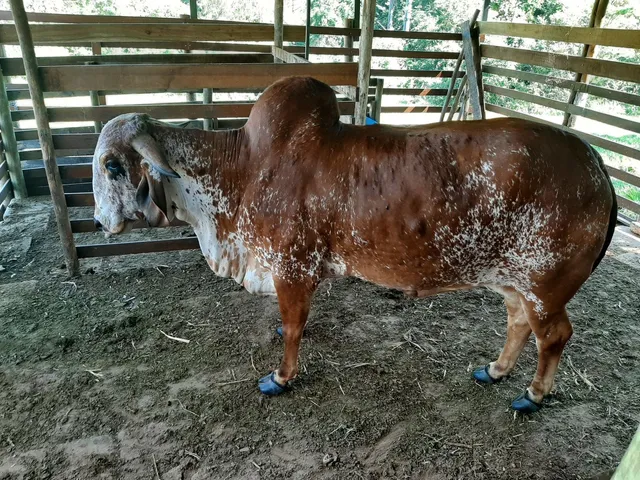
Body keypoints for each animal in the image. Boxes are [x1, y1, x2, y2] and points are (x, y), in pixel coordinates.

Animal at [92, 76, 617, 413]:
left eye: (114, 166)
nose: (98, 220)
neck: (244, 169)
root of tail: (597, 167)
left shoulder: (292, 269)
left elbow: (294, 328)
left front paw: (281, 378)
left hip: (545, 284)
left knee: (554, 335)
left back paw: (532, 395)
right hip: (511, 280)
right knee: (517, 323)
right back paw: (496, 370)